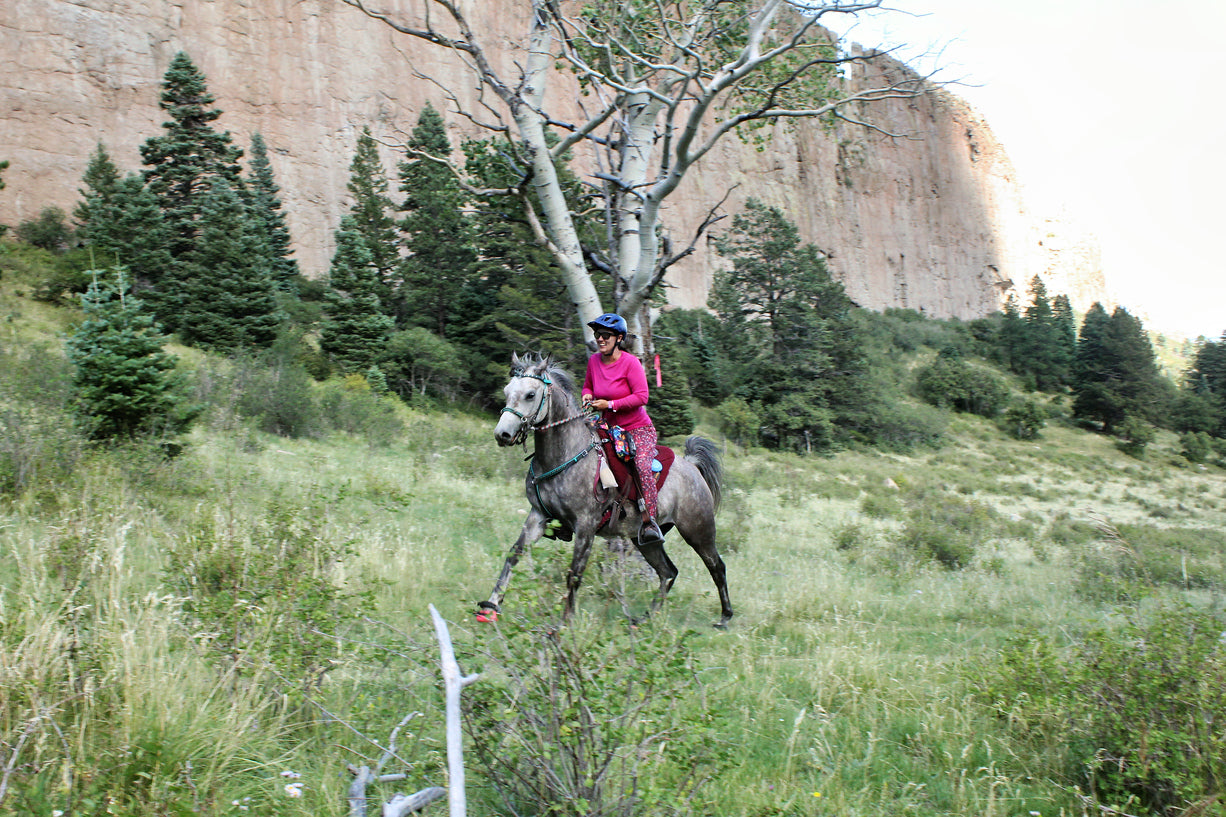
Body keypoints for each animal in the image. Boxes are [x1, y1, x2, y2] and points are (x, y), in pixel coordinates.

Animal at [480, 350, 730, 623]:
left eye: (530, 395)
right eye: (507, 391)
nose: (502, 434)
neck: (564, 454)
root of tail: (693, 467)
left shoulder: (585, 526)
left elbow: (574, 574)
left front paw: (565, 623)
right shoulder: (538, 516)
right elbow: (514, 555)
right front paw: (491, 605)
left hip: (698, 531)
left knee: (716, 566)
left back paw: (725, 618)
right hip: (645, 540)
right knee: (668, 572)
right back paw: (645, 620)